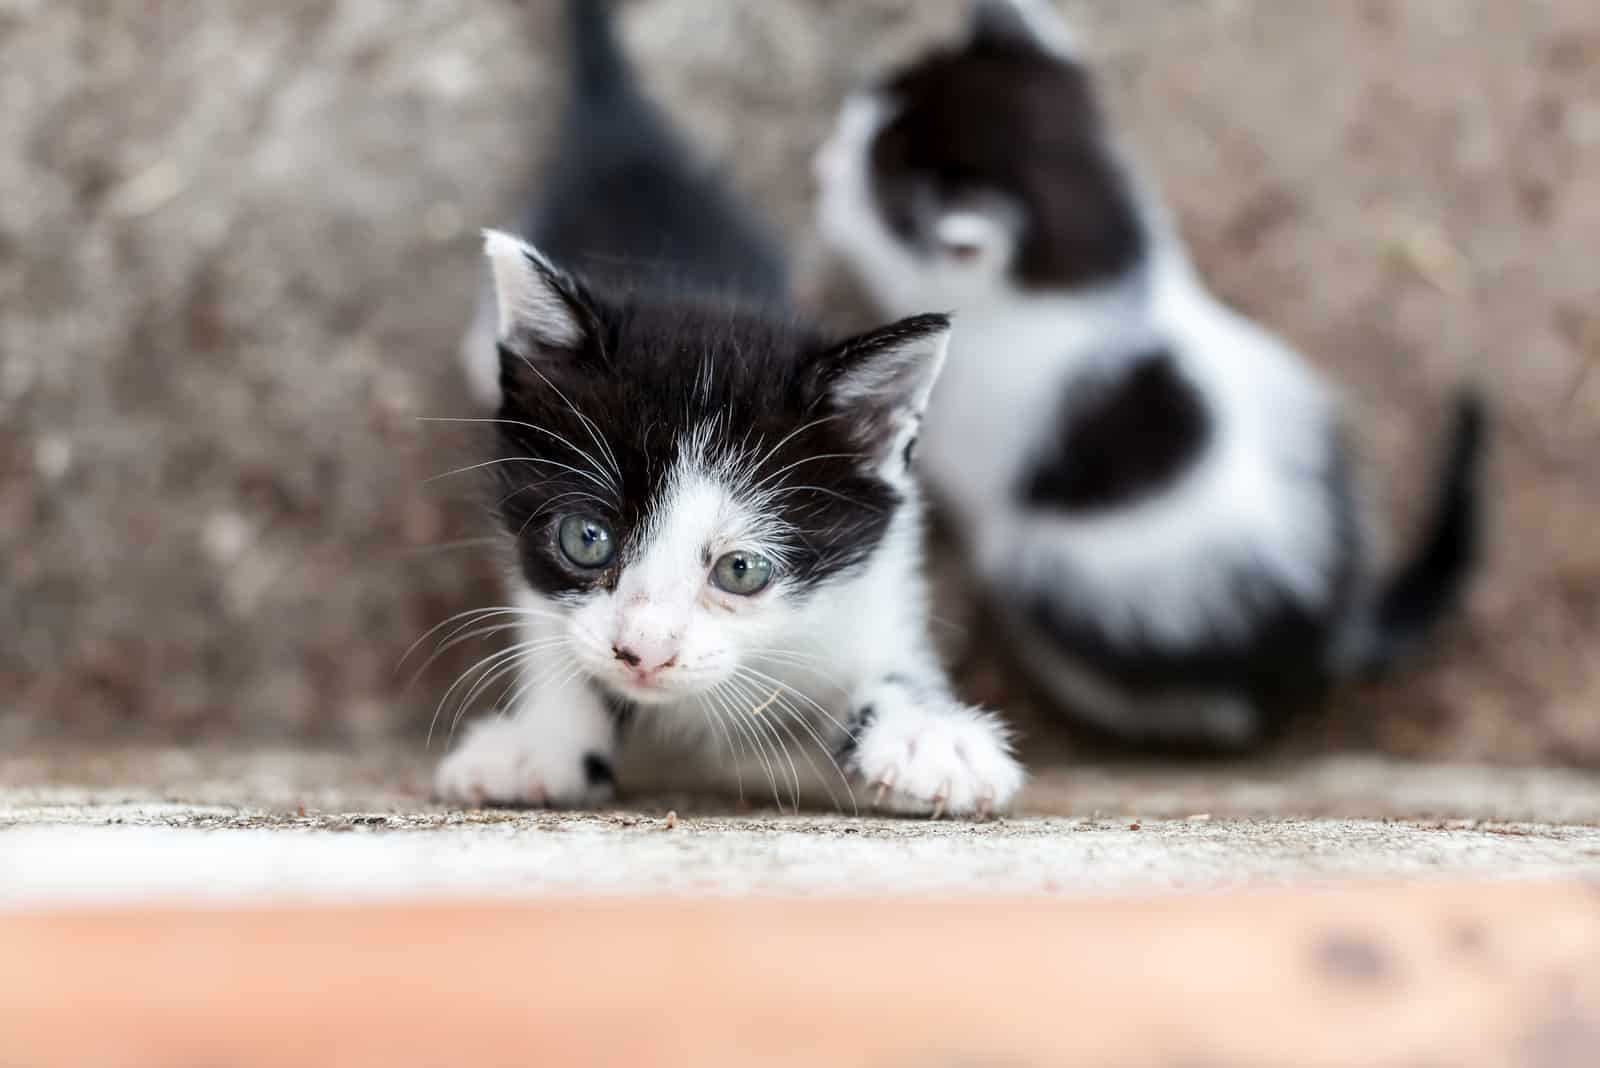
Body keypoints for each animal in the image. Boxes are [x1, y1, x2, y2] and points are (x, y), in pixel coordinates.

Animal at [432, 2, 1017, 818]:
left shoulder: (877, 574)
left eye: (741, 570)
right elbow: (550, 628)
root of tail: (625, 135)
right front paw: (543, 739)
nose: (644, 652)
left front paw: (927, 736)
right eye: (586, 538)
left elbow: (888, 661)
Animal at [812, 0, 1484, 748]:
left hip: (1060, 576)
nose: (822, 164)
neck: (1095, 271)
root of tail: (1329, 624)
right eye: (862, 113)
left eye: (875, 189)